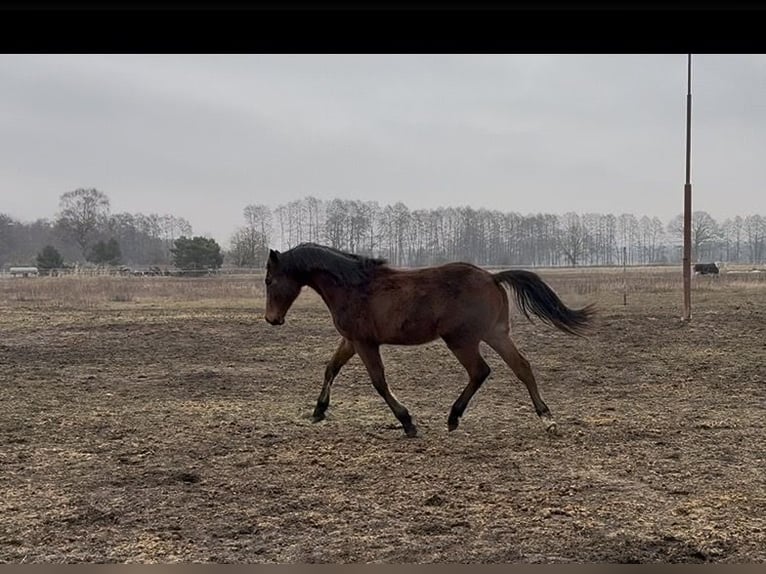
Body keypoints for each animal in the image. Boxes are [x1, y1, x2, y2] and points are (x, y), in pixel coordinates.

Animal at [264, 243, 595, 438]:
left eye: (269, 280)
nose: (271, 319)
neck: (354, 286)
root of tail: (492, 277)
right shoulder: (351, 341)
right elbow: (331, 369)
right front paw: (318, 411)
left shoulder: (364, 343)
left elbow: (379, 382)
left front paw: (408, 422)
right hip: (495, 333)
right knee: (522, 367)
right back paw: (547, 419)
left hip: (461, 340)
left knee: (481, 371)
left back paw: (453, 417)